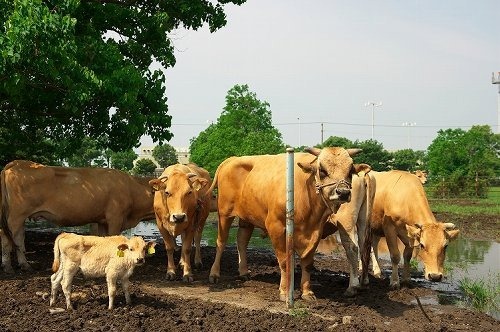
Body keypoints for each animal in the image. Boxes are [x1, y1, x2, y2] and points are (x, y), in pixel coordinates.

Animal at [0, 160, 155, 272]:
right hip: (15, 216)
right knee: (9, 239)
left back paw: (21, 265)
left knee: (18, 239)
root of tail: (17, 163)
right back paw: (11, 266)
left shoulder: (102, 220)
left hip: (18, 218)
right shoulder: (115, 218)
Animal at [207, 148, 372, 300]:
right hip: (224, 213)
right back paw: (214, 274)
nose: (343, 192)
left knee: (241, 241)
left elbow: (307, 262)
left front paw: (307, 292)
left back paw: (243, 272)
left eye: (350, 170)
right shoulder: (276, 227)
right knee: (221, 242)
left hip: (247, 217)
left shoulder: (316, 231)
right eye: (322, 170)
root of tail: (232, 159)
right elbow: (285, 261)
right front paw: (285, 292)